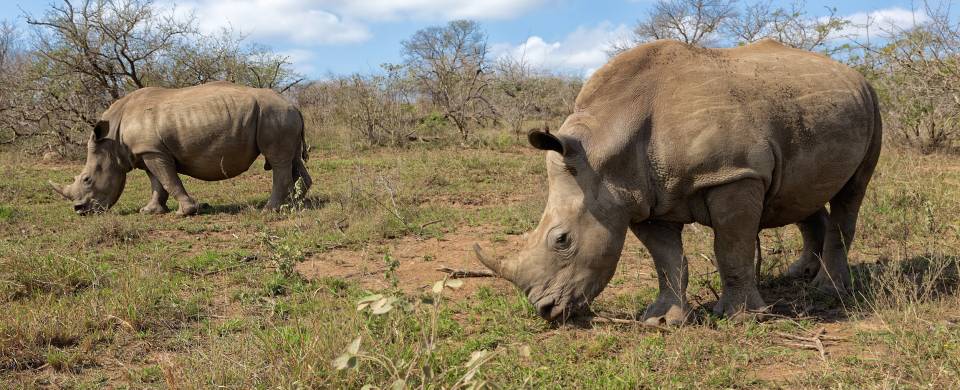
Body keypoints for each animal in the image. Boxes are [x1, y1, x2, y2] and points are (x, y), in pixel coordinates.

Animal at [49, 81, 312, 216]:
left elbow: (169, 180)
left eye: (87, 179)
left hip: (273, 114)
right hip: (279, 116)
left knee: (277, 160)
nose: (79, 210)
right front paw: (150, 211)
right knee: (291, 159)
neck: (112, 138)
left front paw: (185, 212)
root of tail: (293, 105)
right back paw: (295, 203)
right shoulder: (148, 151)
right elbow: (158, 183)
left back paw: (269, 210)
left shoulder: (152, 151)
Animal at [476, 39, 880, 324]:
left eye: (562, 240)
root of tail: (854, 72)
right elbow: (666, 258)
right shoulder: (639, 198)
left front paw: (741, 318)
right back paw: (800, 277)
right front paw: (661, 321)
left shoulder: (733, 174)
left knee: (851, 192)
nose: (544, 310)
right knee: (799, 193)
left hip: (872, 103)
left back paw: (828, 291)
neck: (604, 145)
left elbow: (731, 249)